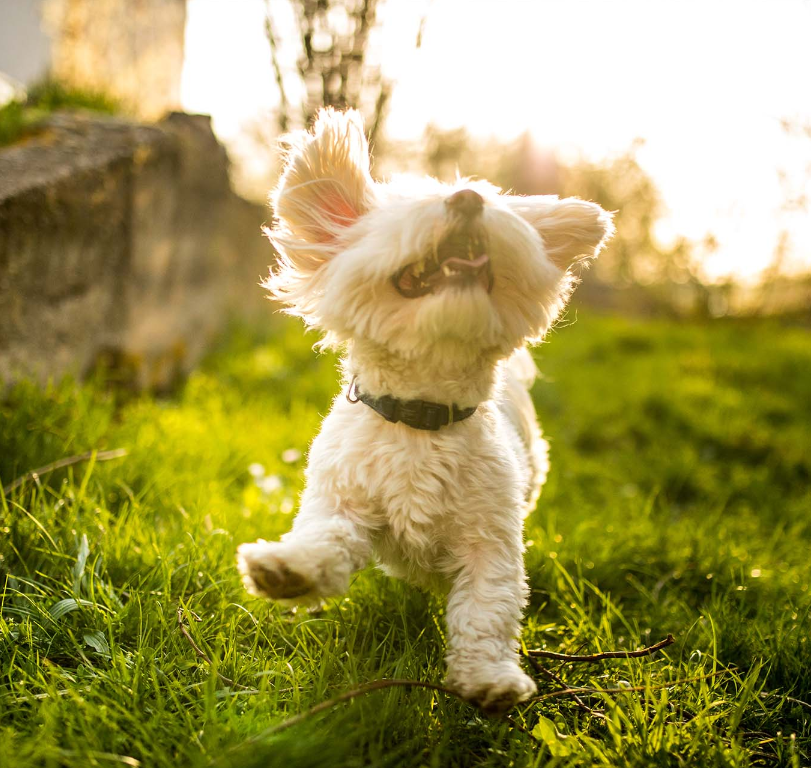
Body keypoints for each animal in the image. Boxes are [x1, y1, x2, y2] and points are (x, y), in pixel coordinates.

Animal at [238, 106, 612, 712]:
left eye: (491, 202)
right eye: (412, 207)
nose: (468, 199)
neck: (419, 417)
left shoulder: (491, 539)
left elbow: (488, 607)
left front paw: (488, 678)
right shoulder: (341, 500)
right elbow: (327, 539)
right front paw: (290, 571)